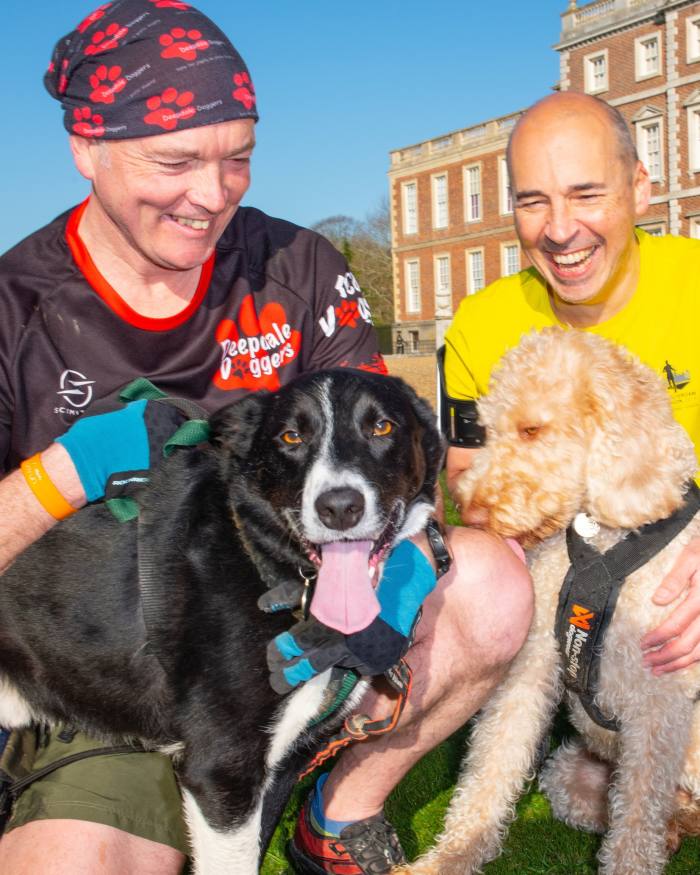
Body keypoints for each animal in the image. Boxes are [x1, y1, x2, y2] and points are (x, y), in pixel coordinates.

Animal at [0, 370, 442, 875]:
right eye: (291, 437)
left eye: (382, 427)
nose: (339, 507)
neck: (269, 567)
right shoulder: (221, 772)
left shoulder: (284, 764)